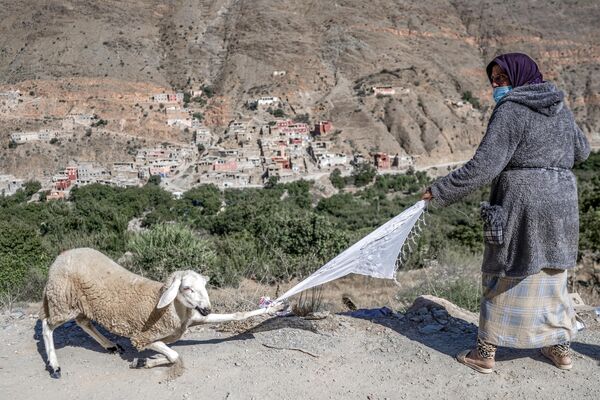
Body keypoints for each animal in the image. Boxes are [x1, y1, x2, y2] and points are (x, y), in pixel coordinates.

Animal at [40, 247, 284, 378]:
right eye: (187, 288)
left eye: (205, 287)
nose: (206, 309)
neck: (173, 309)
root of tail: (61, 256)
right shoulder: (143, 336)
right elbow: (174, 355)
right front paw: (145, 362)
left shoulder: (191, 318)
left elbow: (238, 315)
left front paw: (273, 307)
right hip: (61, 300)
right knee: (46, 324)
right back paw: (54, 365)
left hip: (78, 303)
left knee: (84, 322)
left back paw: (110, 345)